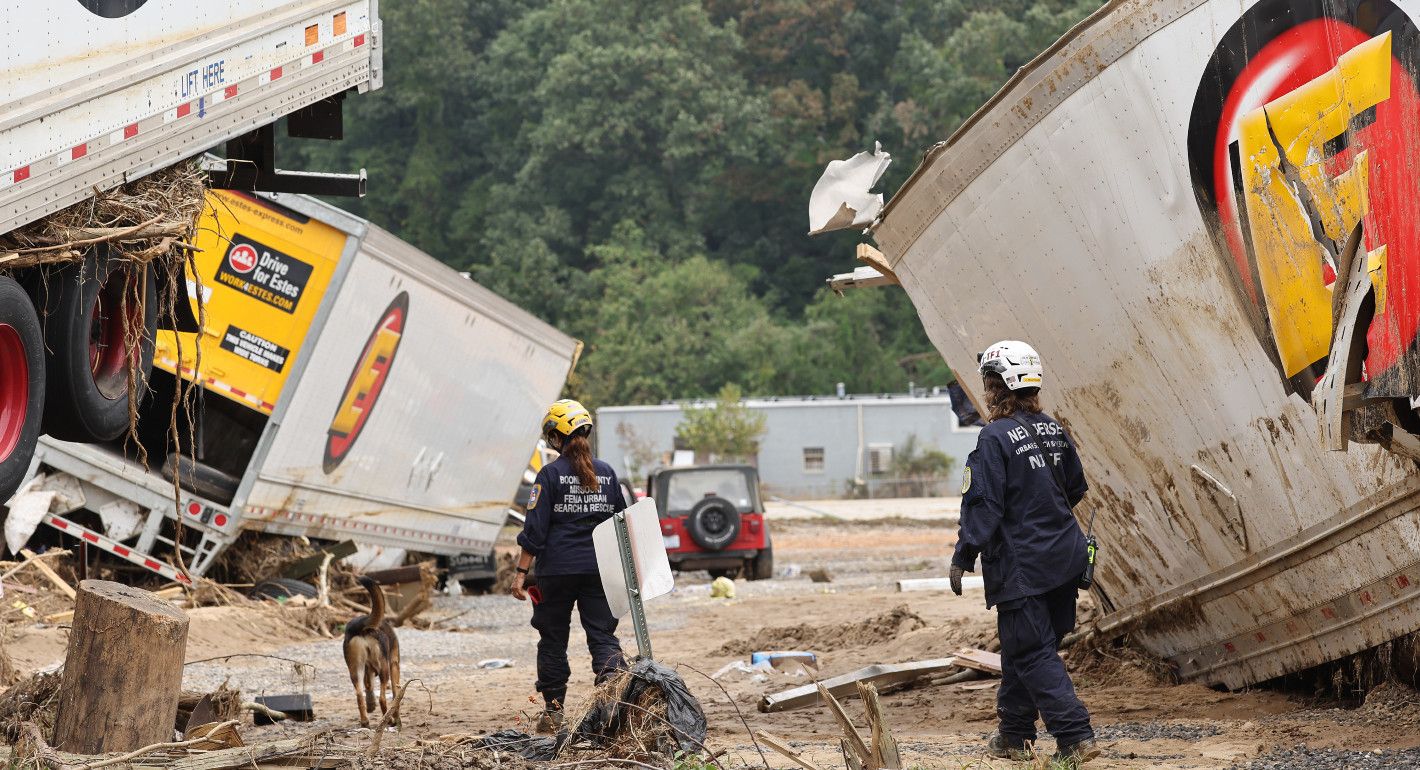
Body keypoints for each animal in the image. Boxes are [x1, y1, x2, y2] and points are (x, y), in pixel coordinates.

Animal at [345, 579, 403, 733]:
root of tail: (362, 626)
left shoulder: (367, 669)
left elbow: (368, 686)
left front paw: (371, 704)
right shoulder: (394, 664)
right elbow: (395, 695)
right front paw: (396, 719)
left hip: (355, 669)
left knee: (359, 695)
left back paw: (365, 721)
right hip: (384, 669)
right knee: (382, 698)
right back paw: (388, 720)